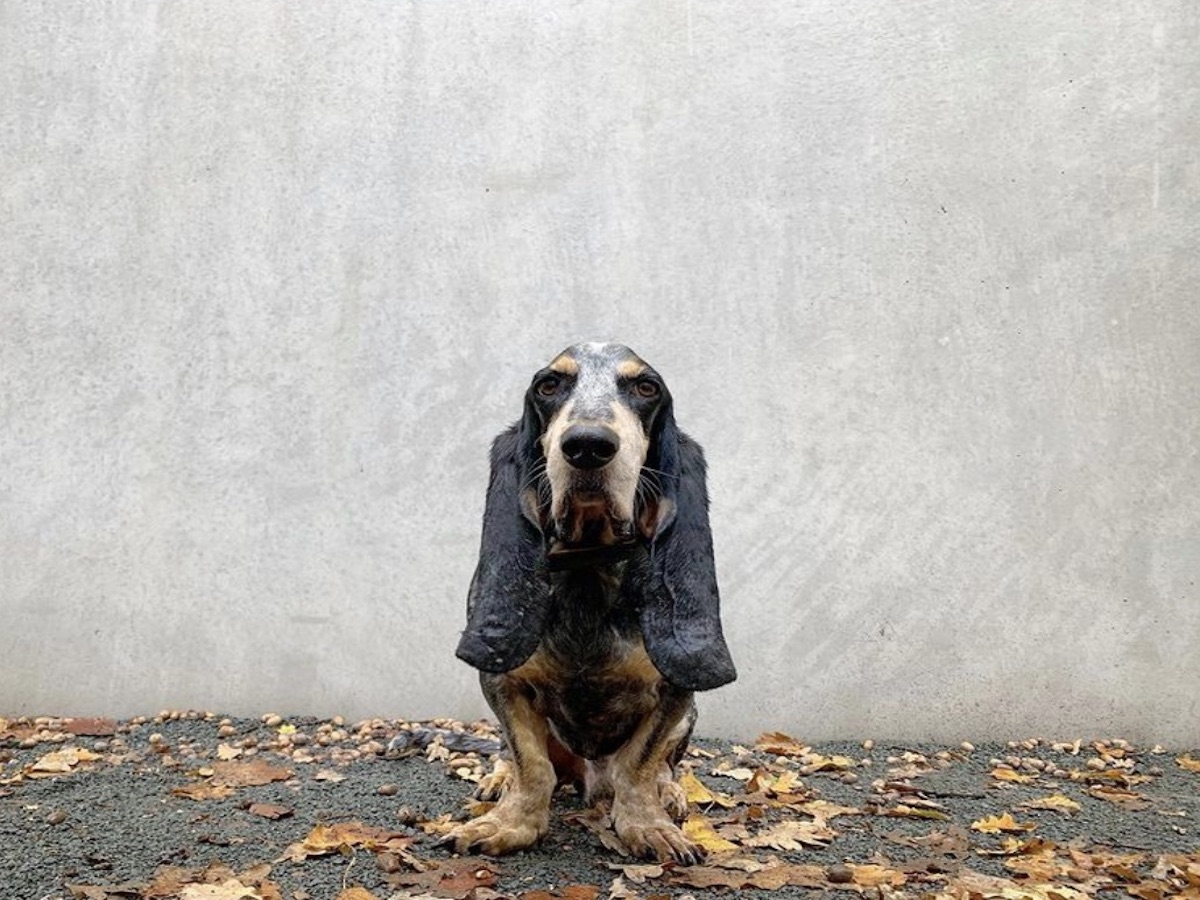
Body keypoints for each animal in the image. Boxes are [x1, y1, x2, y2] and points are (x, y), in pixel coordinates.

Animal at [446, 340, 734, 864]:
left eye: (646, 387)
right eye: (548, 385)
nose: (586, 445)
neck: (588, 560)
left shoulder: (675, 694)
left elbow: (638, 767)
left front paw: (648, 826)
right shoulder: (501, 681)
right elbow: (530, 762)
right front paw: (510, 825)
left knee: (664, 767)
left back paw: (670, 793)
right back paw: (497, 780)